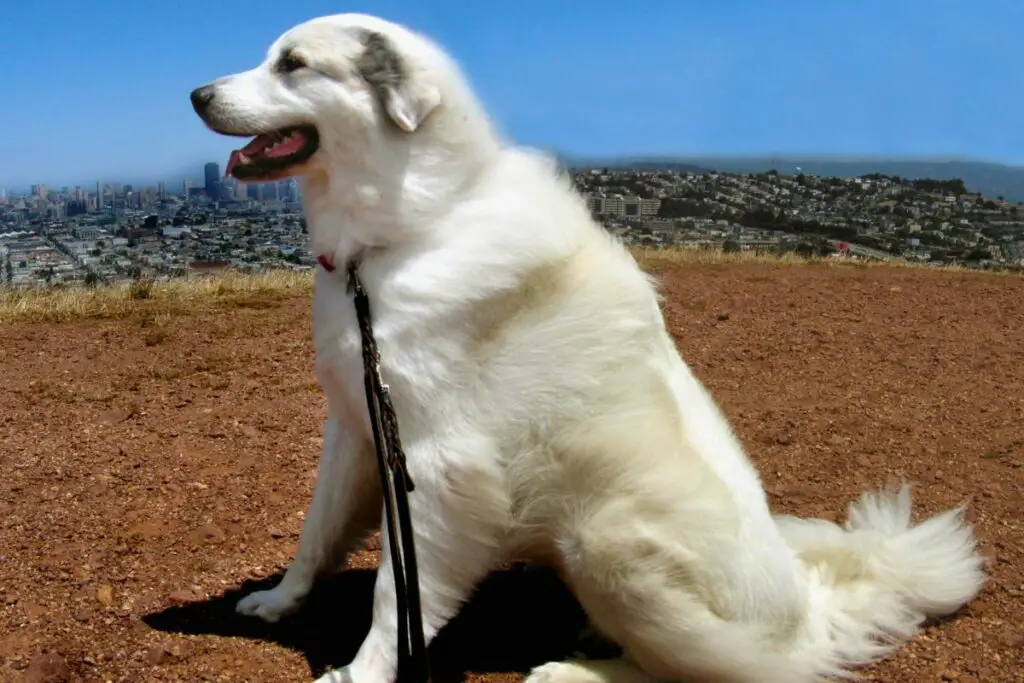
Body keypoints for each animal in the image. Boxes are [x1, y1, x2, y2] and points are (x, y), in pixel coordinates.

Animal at [192, 14, 983, 683]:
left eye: (293, 64)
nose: (196, 92)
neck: (412, 228)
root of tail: (809, 617)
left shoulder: (442, 467)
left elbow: (397, 593)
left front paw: (363, 671)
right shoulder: (359, 429)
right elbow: (316, 531)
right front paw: (279, 600)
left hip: (609, 535)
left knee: (705, 672)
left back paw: (573, 669)